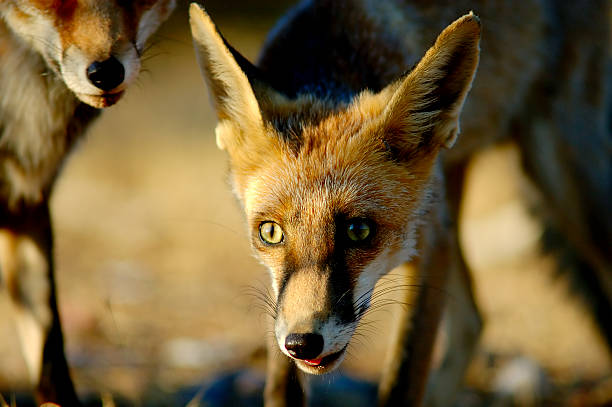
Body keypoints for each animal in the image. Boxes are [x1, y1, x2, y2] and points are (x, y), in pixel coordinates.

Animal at [189, 0, 608, 406]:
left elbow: (403, 380)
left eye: (359, 231)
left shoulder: (430, 240)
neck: (334, 49)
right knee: (472, 321)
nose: (302, 343)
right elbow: (280, 385)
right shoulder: (280, 295)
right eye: (271, 233)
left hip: (564, 187)